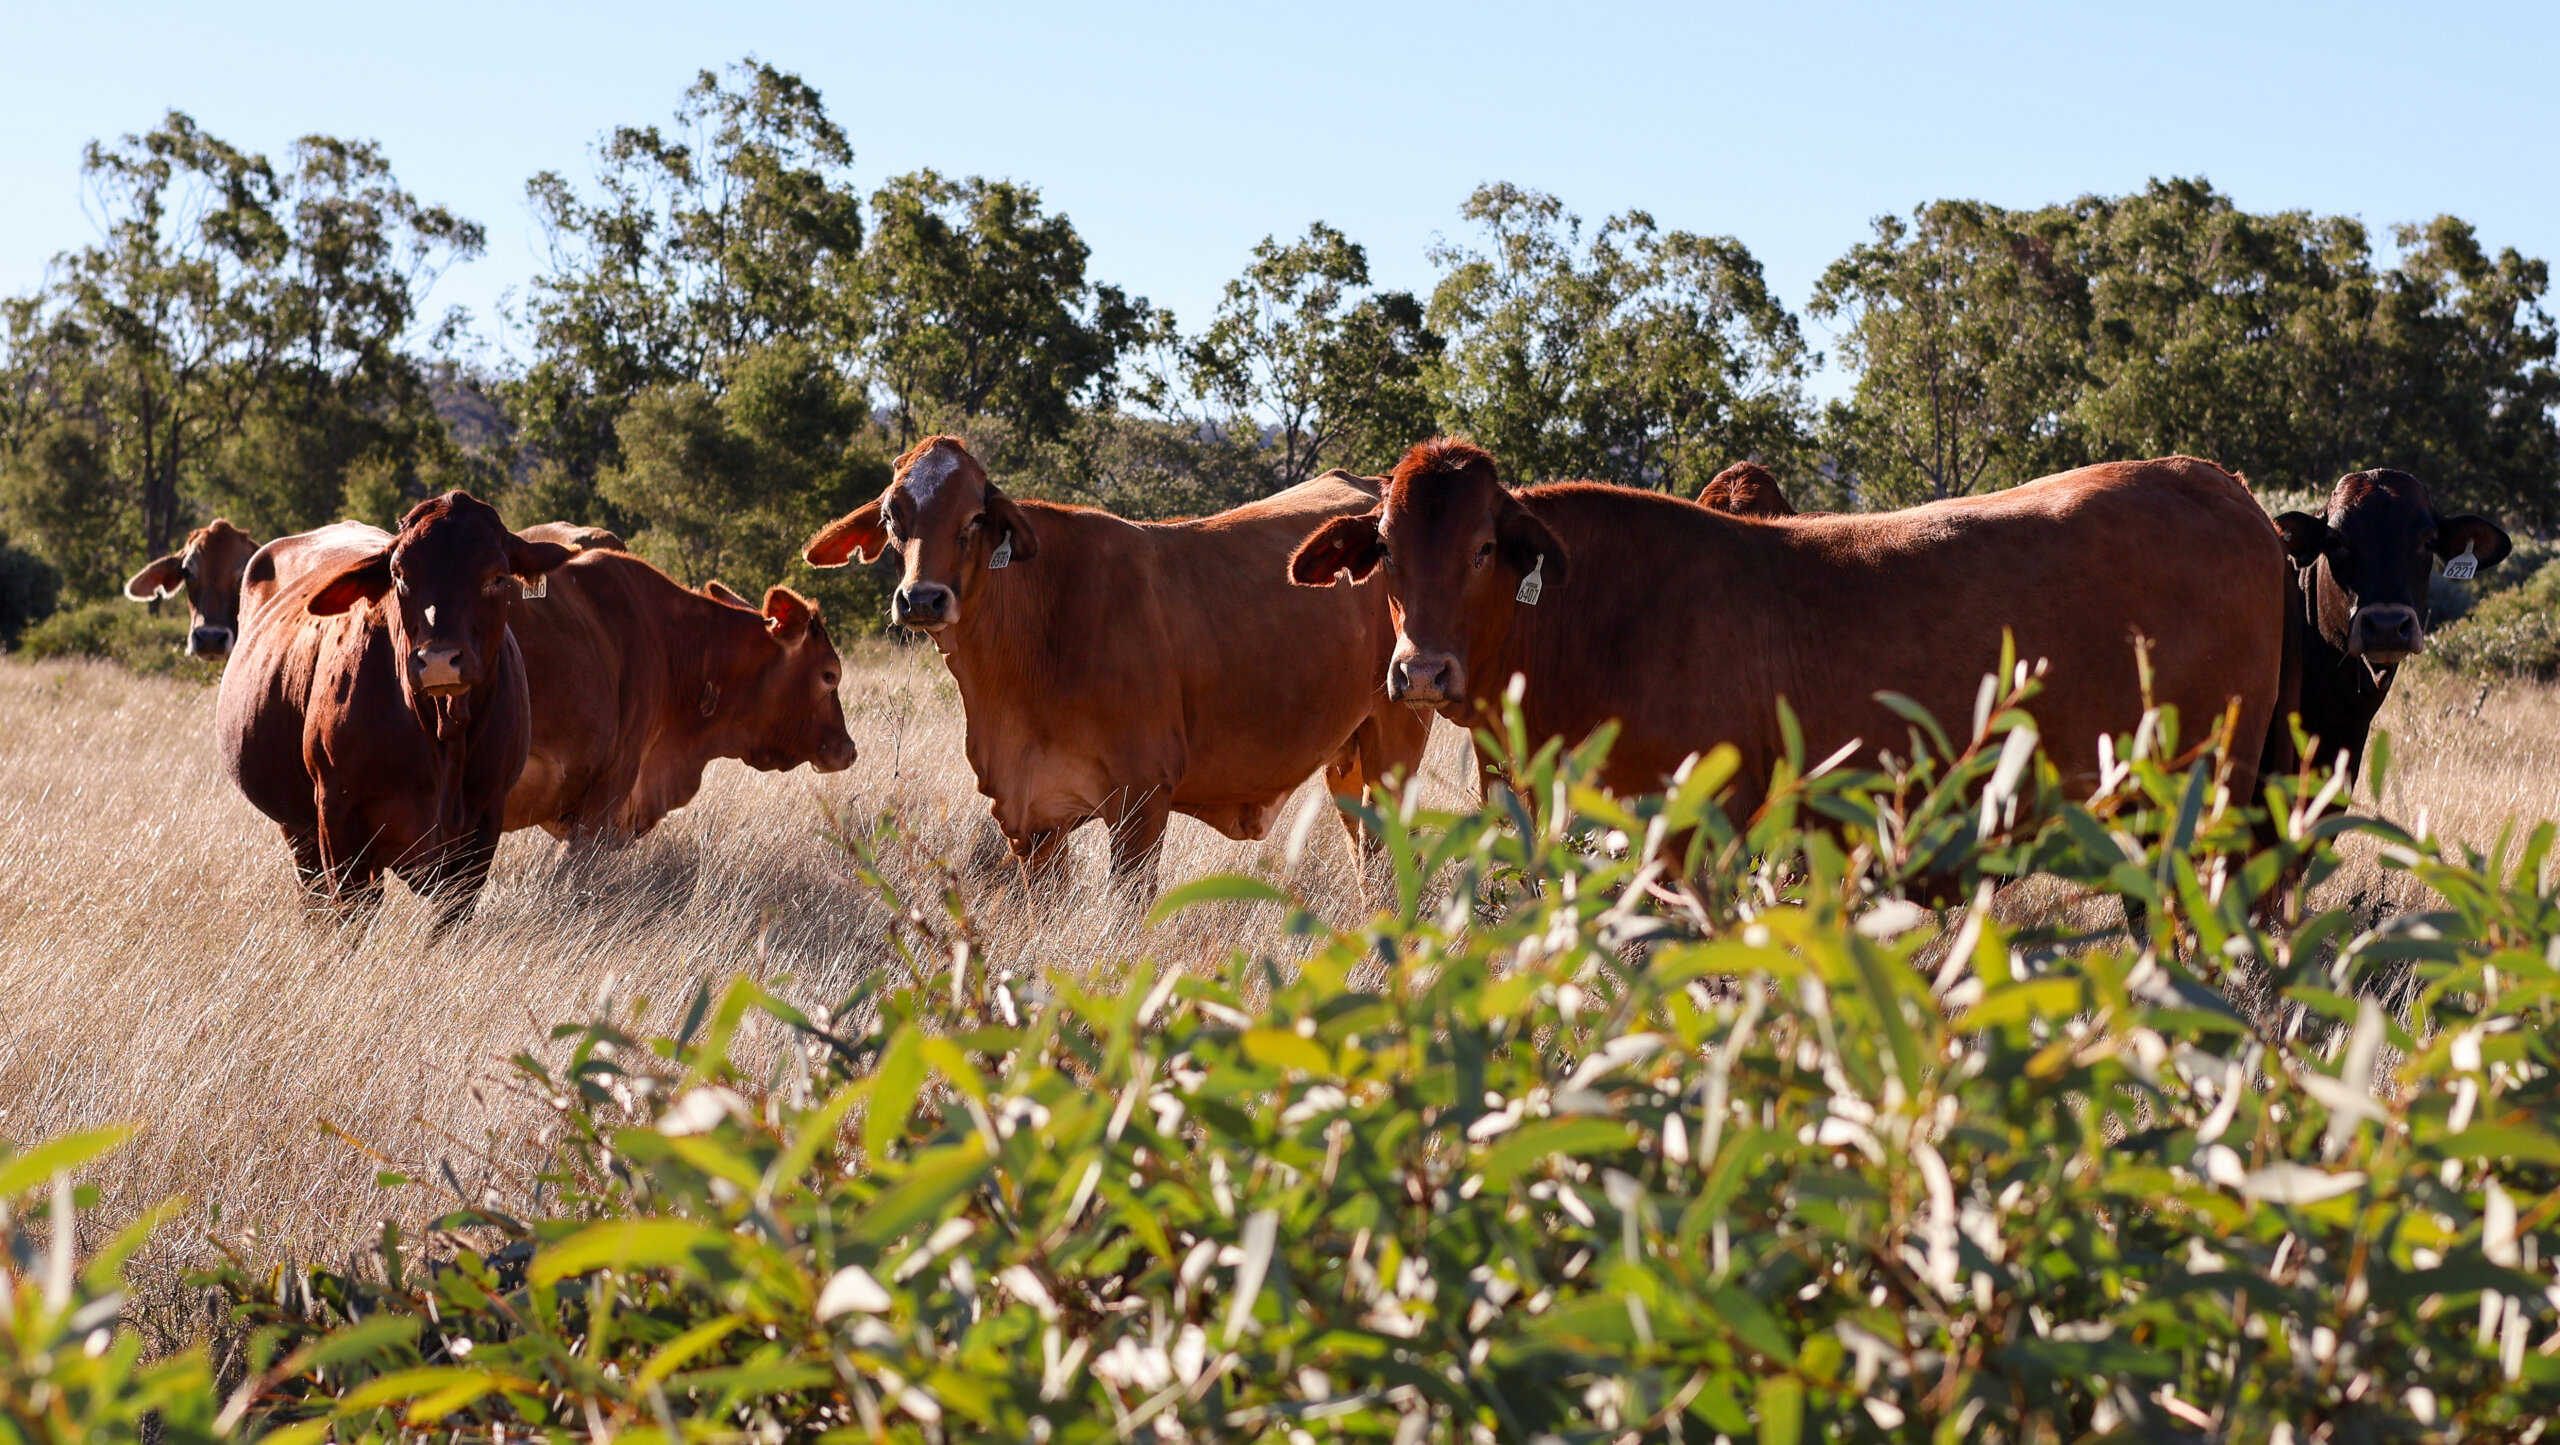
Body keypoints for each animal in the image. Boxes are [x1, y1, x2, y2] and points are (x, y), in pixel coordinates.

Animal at [216, 494, 574, 926]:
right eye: (400, 575)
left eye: (498, 576)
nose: (439, 660)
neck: (443, 732)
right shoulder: (338, 820)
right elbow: (350, 915)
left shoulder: (485, 821)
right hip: (298, 827)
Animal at [801, 435, 1429, 891]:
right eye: (892, 515)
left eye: (975, 518)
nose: (922, 599)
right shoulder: (1028, 816)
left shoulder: (1142, 800)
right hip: (1348, 753)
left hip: (1396, 736)